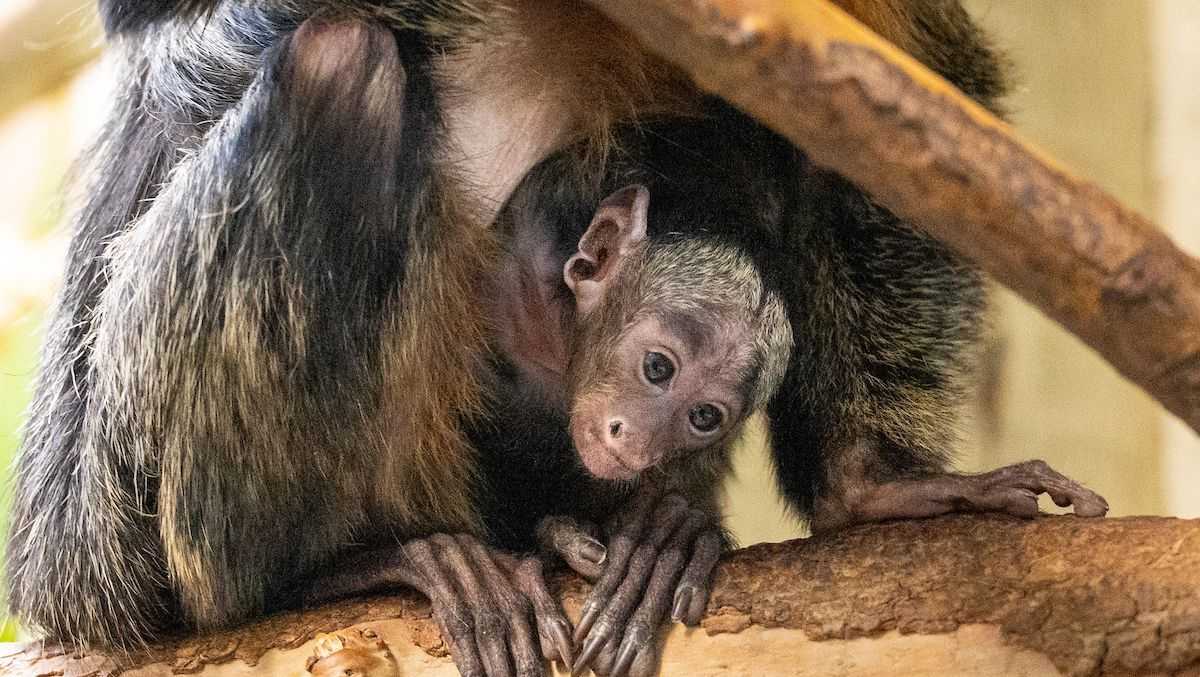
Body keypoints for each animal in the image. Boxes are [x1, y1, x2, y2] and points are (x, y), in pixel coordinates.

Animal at [4, 1, 1105, 677]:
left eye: (696, 404)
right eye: (653, 365)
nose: (640, 431)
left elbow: (912, 110)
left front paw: (869, 483)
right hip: (107, 521)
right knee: (337, 69)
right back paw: (315, 578)